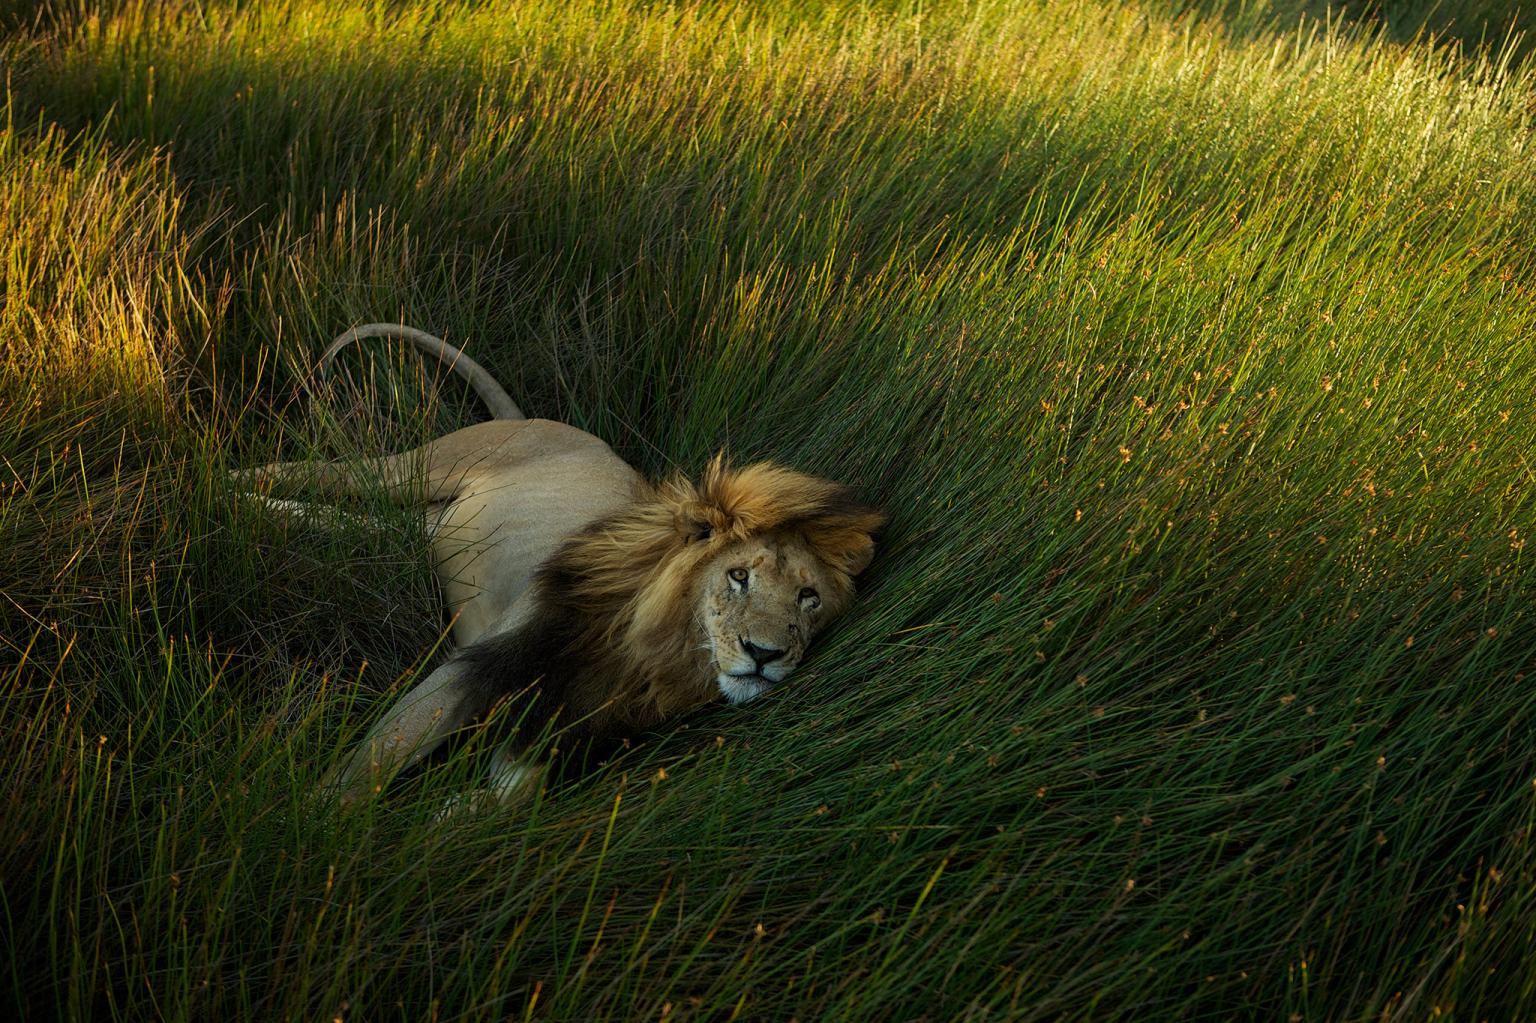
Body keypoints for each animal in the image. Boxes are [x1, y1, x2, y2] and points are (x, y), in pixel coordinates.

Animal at [238, 324, 890, 804]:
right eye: (739, 576)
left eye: (809, 598)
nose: (764, 654)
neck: (653, 659)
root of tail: (540, 419)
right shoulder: (480, 664)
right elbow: (370, 763)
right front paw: (313, 830)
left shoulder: (559, 730)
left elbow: (509, 800)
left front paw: (443, 821)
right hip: (416, 469)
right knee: (298, 471)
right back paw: (217, 489)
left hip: (426, 527)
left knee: (333, 517)